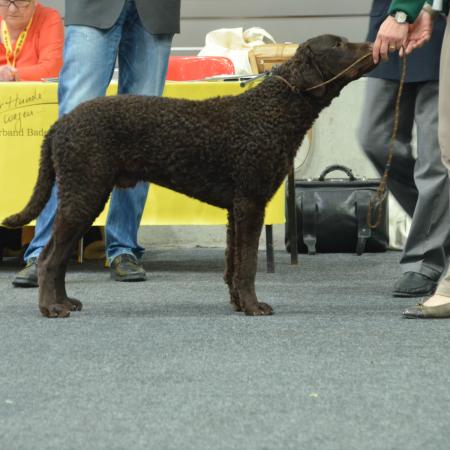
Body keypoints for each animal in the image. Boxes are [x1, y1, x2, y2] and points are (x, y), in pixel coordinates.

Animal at [2, 34, 376, 316]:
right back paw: (52, 308)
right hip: (84, 192)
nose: (374, 45)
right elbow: (248, 264)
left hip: (85, 195)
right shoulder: (251, 202)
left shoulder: (235, 209)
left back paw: (65, 302)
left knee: (59, 257)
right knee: (49, 257)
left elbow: (233, 263)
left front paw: (238, 304)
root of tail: (61, 124)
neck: (275, 108)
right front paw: (254, 307)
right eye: (338, 44)